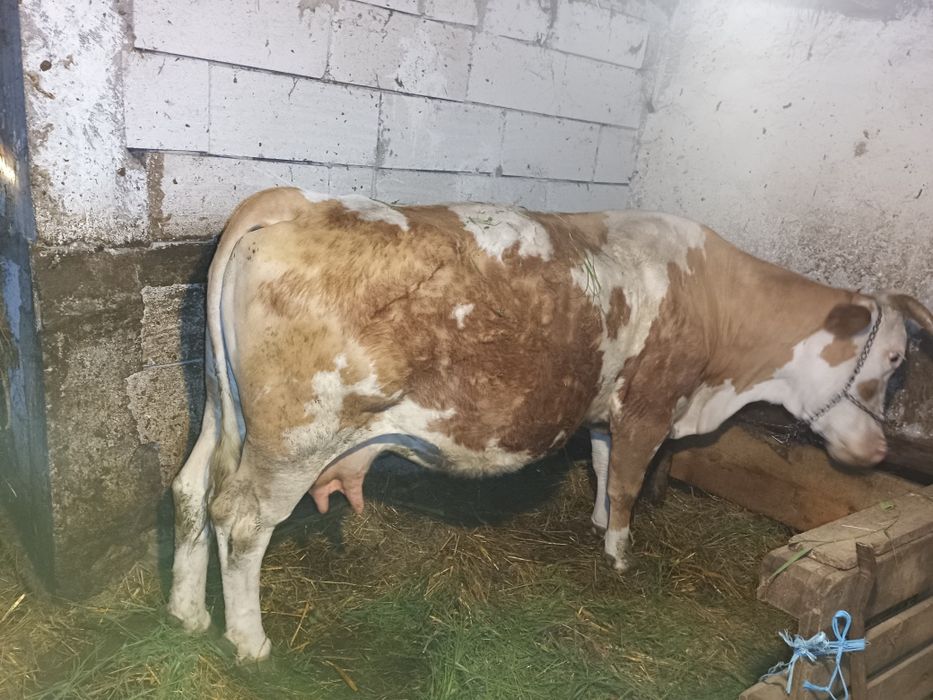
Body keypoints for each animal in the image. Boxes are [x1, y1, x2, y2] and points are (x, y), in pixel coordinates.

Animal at [166, 187, 933, 662]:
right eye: (894, 358)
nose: (877, 450)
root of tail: (297, 199)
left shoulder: (607, 412)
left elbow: (600, 466)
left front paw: (594, 527)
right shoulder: (650, 404)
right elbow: (627, 483)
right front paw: (621, 556)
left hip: (221, 409)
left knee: (190, 491)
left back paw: (186, 613)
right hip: (296, 434)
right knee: (242, 520)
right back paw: (249, 642)